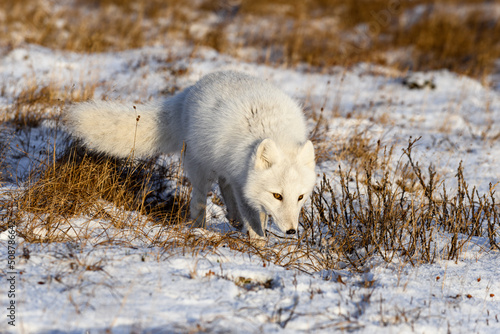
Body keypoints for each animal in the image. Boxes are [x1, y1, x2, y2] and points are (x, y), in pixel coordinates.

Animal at [65, 70, 316, 239]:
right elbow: (254, 217)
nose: (291, 231)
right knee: (199, 201)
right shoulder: (242, 182)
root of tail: (191, 89)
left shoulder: (242, 179)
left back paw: (233, 219)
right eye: (277, 196)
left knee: (223, 185)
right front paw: (259, 244)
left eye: (300, 197)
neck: (272, 132)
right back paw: (200, 229)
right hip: (200, 168)